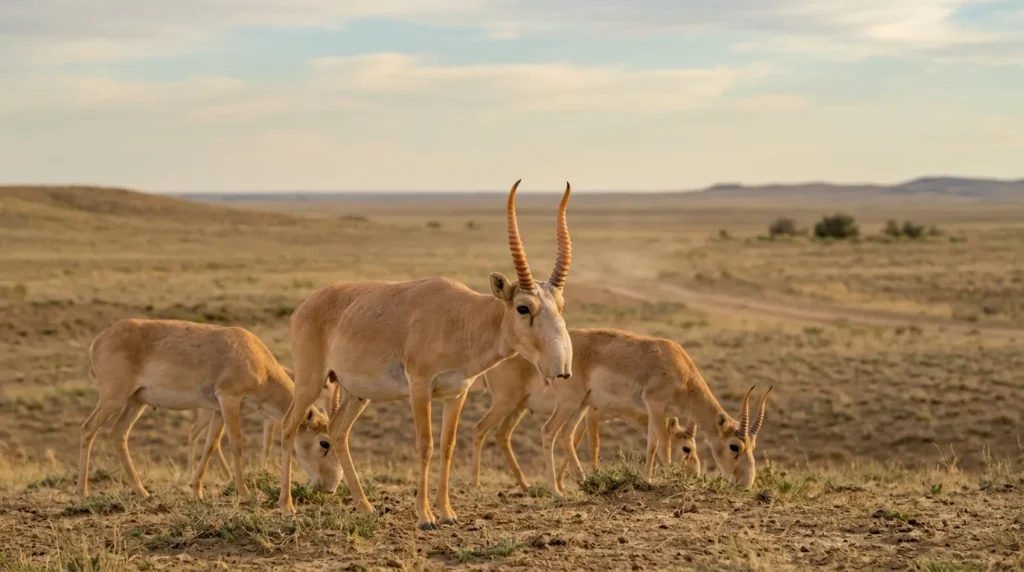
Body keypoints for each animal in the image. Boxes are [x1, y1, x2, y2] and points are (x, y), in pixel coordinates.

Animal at [279, 180, 573, 529]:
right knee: (288, 427)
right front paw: (425, 516)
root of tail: (304, 307)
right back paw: (287, 507)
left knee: (338, 432)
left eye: (561, 305)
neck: (462, 317)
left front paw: (446, 512)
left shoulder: (456, 393)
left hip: (355, 393)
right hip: (310, 382)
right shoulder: (420, 387)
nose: (561, 367)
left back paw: (366, 507)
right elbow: (426, 445)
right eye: (523, 307)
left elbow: (447, 446)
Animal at [476, 328, 771, 495]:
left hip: (570, 406)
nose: (746, 483)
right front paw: (662, 480)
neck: (681, 371)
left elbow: (652, 443)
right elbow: (661, 445)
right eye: (734, 446)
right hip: (556, 404)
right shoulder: (655, 405)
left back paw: (582, 483)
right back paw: (555, 492)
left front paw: (648, 479)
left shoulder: (652, 412)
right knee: (545, 432)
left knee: (559, 436)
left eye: (753, 447)